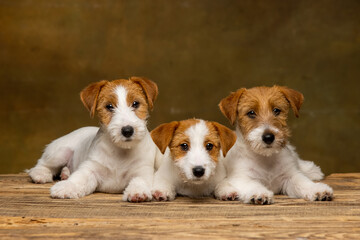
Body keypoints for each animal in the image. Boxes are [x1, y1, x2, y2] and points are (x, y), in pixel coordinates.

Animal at [26, 77, 159, 202]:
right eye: (109, 106)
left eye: (135, 103)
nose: (127, 130)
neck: (121, 151)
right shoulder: (90, 168)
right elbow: (79, 178)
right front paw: (67, 187)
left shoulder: (142, 171)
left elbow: (140, 180)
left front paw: (138, 192)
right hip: (59, 153)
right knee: (41, 164)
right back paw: (41, 174)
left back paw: (65, 173)